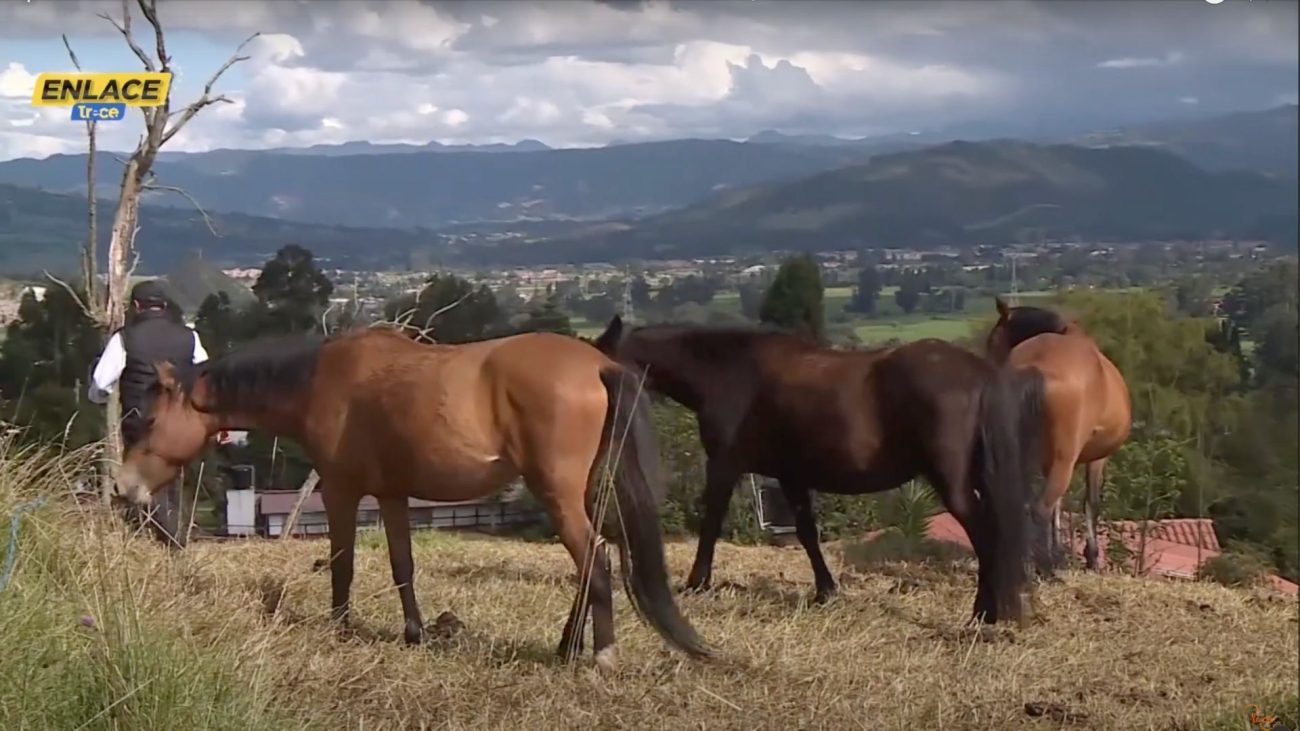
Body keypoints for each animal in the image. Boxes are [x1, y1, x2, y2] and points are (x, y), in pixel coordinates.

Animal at [112, 326, 710, 669]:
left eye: (149, 422)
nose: (123, 488)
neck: (319, 382)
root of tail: (597, 364)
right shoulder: (392, 494)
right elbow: (403, 565)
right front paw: (414, 632)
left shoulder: (343, 490)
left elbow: (343, 562)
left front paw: (341, 627)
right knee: (594, 563)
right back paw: (567, 648)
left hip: (559, 493)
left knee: (597, 561)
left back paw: (600, 656)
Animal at [594, 316, 1043, 625]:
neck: (728, 371)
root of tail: (977, 371)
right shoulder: (790, 475)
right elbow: (807, 533)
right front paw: (825, 590)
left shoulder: (724, 464)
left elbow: (711, 524)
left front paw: (696, 582)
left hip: (950, 480)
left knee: (984, 532)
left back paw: (985, 611)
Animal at [984, 297, 1132, 572]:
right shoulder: (1095, 459)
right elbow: (1090, 503)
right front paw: (1091, 557)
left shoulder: (1046, 461)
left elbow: (1059, 507)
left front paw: (1059, 551)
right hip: (1064, 460)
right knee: (1039, 508)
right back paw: (1043, 566)